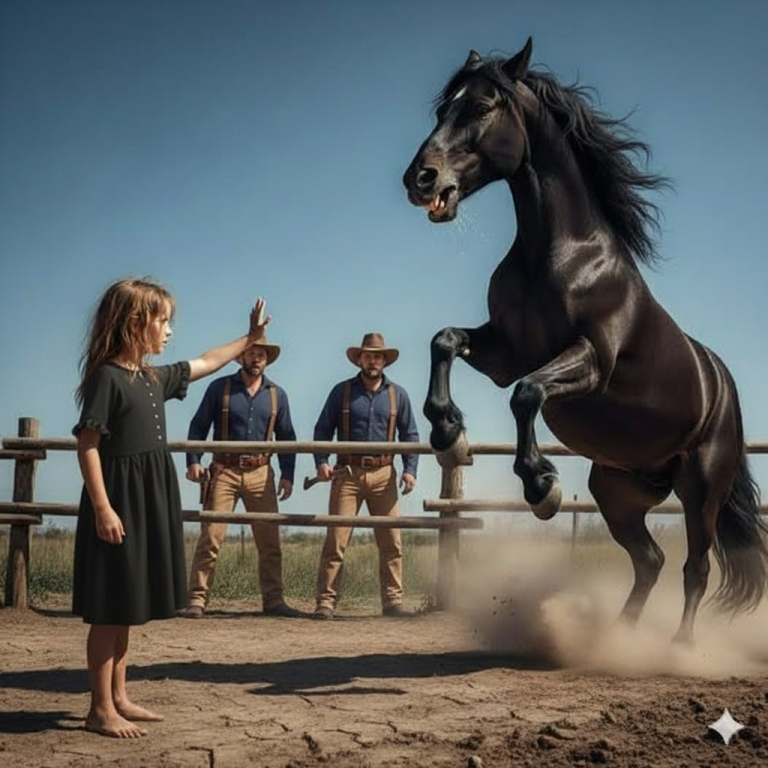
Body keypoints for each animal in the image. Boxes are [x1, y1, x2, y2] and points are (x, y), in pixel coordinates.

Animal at [402, 38, 768, 643]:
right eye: (439, 110)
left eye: (480, 107)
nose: (421, 180)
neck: (559, 255)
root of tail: (722, 380)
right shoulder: (503, 352)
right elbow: (445, 341)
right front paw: (449, 433)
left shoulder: (591, 364)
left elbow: (527, 393)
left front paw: (540, 484)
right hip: (617, 491)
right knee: (650, 560)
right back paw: (614, 637)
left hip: (701, 488)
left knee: (695, 567)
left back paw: (680, 647)